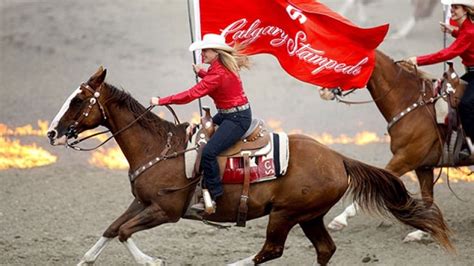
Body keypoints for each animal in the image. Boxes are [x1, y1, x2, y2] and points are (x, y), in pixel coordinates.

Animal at [47, 67, 452, 264]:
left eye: (78, 100)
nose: (52, 132)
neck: (160, 148)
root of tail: (339, 158)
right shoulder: (142, 202)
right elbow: (113, 228)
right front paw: (84, 261)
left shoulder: (166, 210)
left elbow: (126, 233)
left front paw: (153, 262)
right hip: (309, 216)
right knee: (324, 250)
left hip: (286, 214)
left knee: (270, 251)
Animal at [328, 48, 472, 240]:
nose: (325, 90)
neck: (413, 105)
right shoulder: (423, 167)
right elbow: (428, 198)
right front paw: (422, 232)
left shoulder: (404, 159)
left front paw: (340, 220)